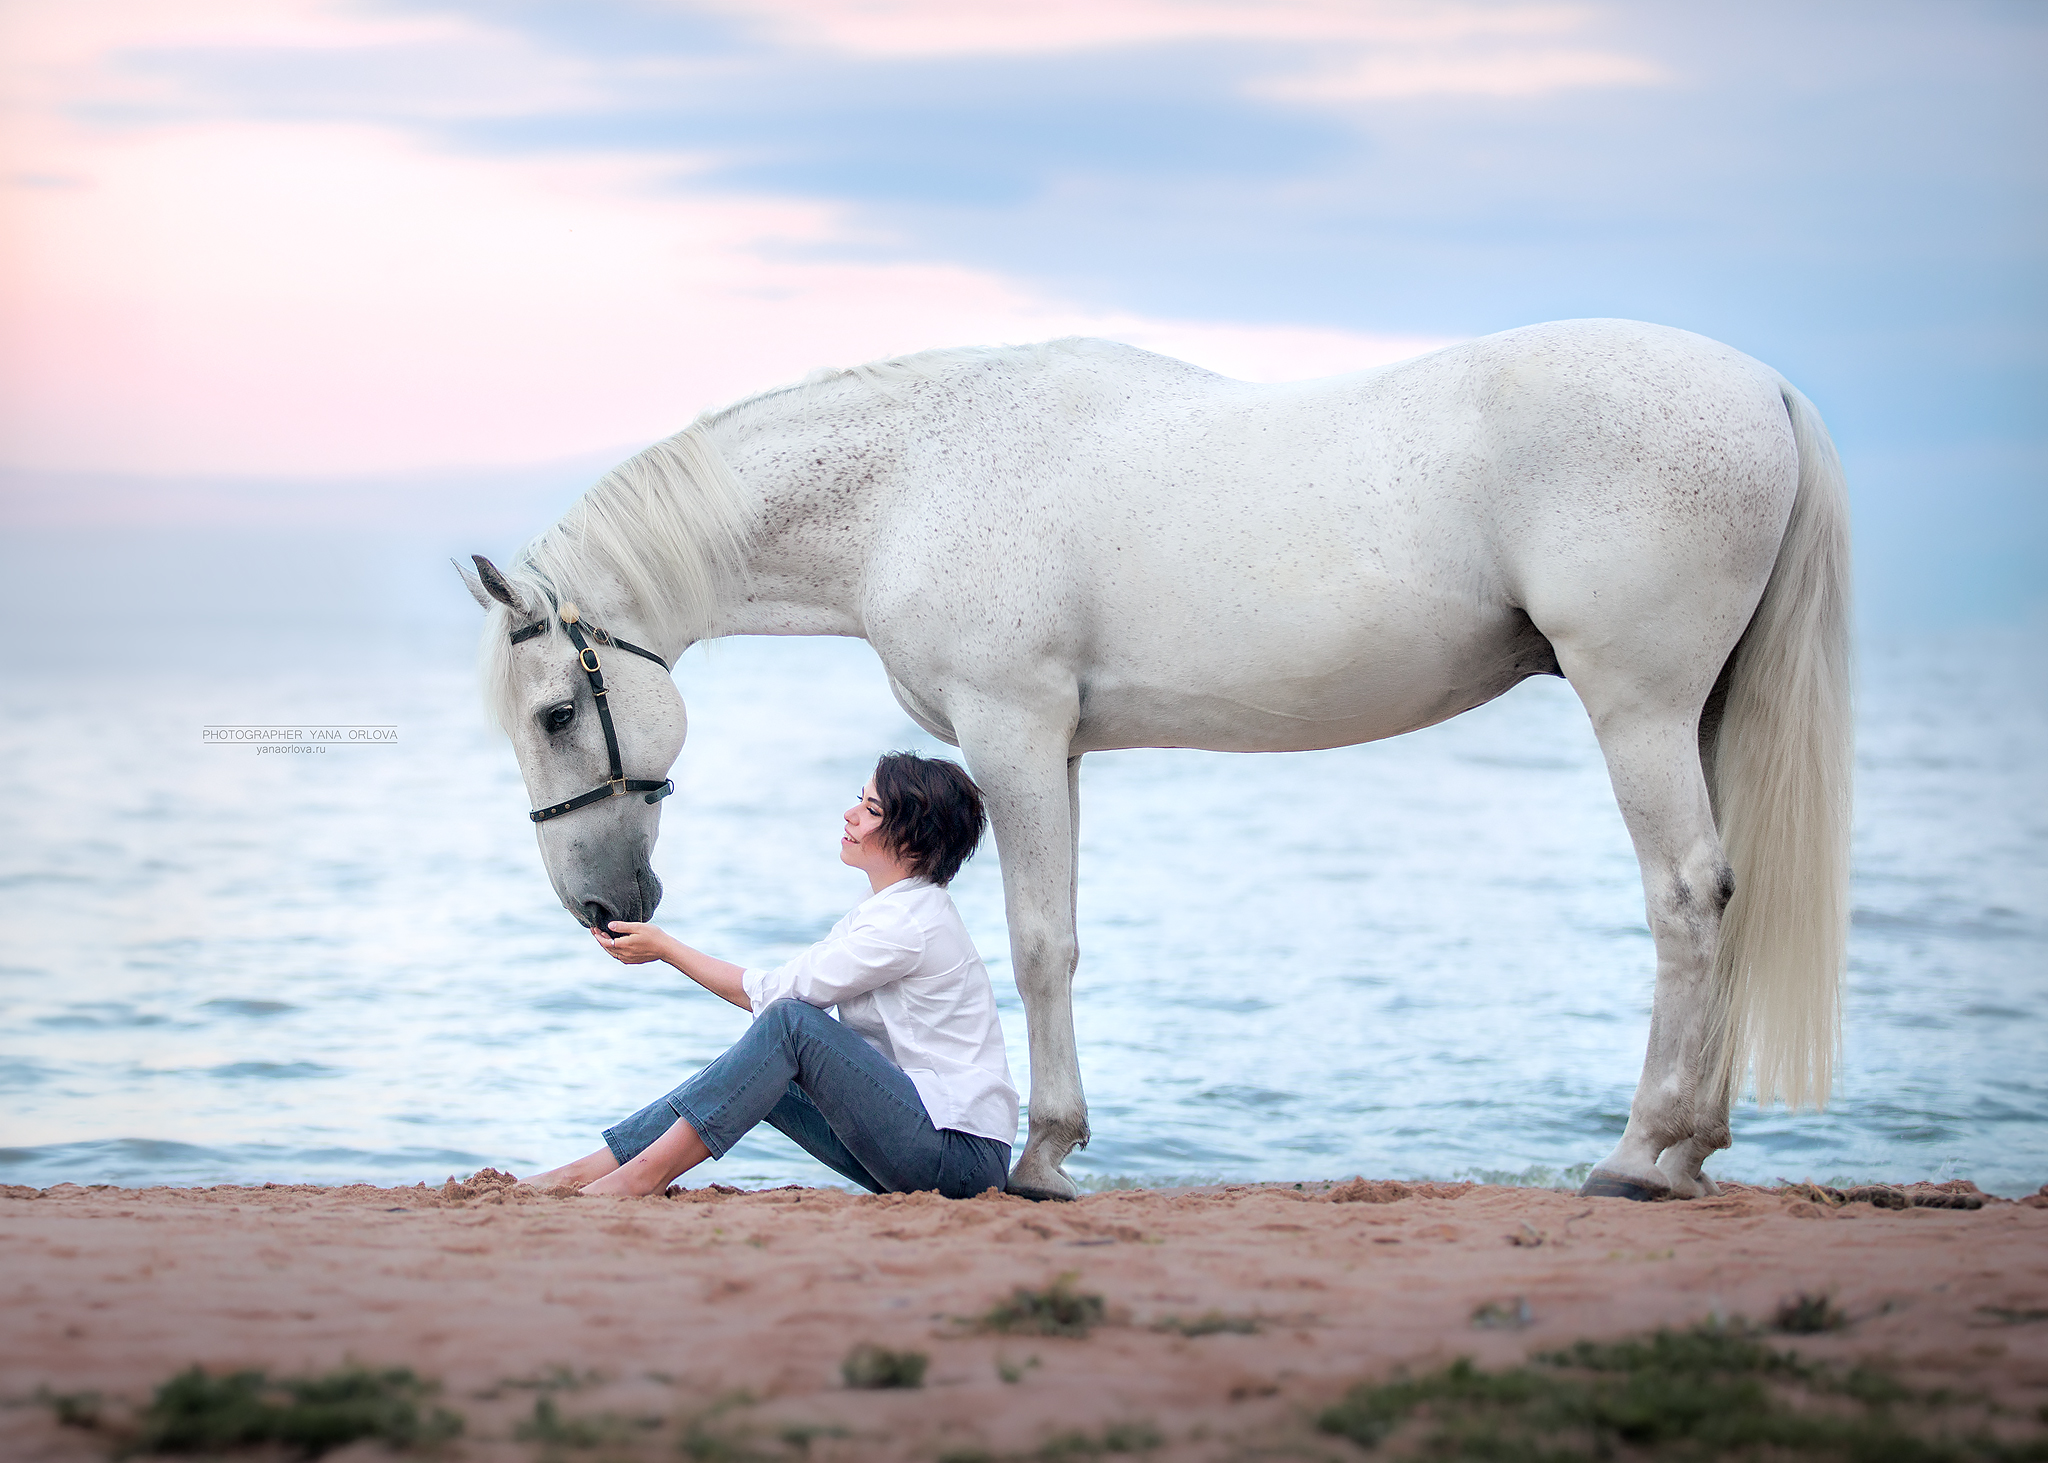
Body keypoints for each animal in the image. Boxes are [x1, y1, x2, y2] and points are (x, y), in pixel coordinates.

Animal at [464, 315, 1859, 1196]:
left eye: (553, 715)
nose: (603, 907)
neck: (916, 477)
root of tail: (1766, 388)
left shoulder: (1014, 727)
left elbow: (1038, 943)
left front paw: (1041, 1157)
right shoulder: (1055, 747)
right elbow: (1057, 932)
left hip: (1637, 706)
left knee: (1684, 895)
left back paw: (1636, 1155)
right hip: (1698, 712)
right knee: (1722, 900)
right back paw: (1690, 1150)